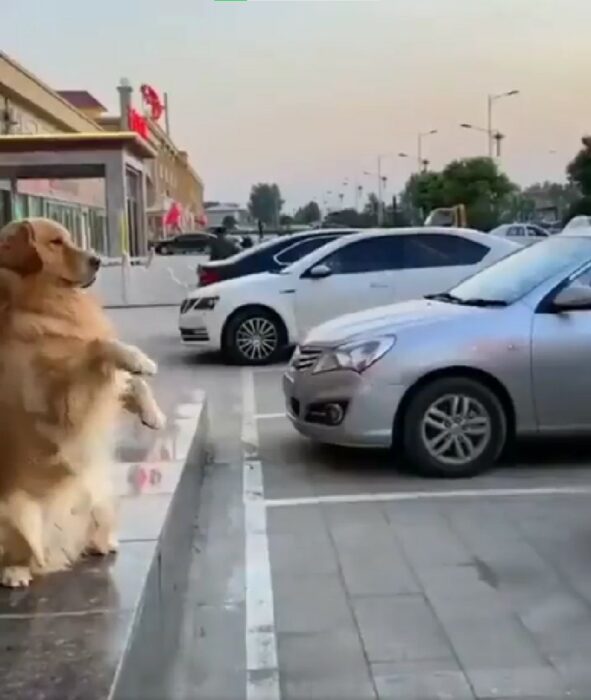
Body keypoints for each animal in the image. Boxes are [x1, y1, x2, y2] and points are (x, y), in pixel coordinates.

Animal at [0, 217, 164, 584]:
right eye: (55, 242)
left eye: (70, 238)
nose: (97, 260)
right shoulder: (57, 404)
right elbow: (97, 346)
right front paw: (140, 359)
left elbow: (126, 378)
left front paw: (153, 413)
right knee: (19, 555)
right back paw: (15, 571)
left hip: (100, 497)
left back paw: (100, 543)